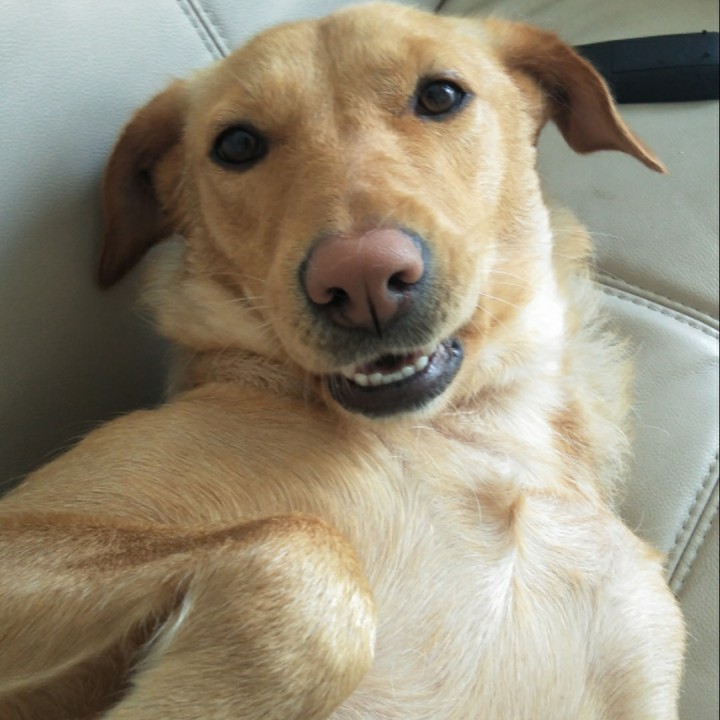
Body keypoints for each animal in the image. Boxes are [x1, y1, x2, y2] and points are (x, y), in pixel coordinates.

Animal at [0, 3, 684, 719]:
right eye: (236, 145)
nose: (361, 278)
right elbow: (307, 560)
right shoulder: (21, 540)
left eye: (440, 96)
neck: (477, 436)